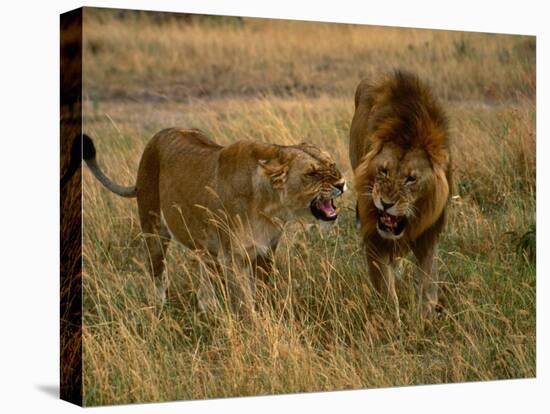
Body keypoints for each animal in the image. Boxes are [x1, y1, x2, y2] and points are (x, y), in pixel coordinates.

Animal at [84, 128, 348, 312]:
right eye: (312, 174)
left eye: (332, 164)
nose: (342, 184)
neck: (270, 205)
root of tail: (158, 135)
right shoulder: (234, 256)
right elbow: (243, 299)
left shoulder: (266, 251)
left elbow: (261, 292)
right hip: (154, 229)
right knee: (158, 273)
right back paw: (160, 309)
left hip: (206, 247)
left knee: (205, 275)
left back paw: (207, 309)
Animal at [354, 71, 452, 320]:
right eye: (383, 171)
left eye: (411, 179)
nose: (385, 204)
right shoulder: (374, 236)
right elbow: (387, 290)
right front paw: (392, 323)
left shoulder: (429, 233)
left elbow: (427, 281)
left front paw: (425, 319)